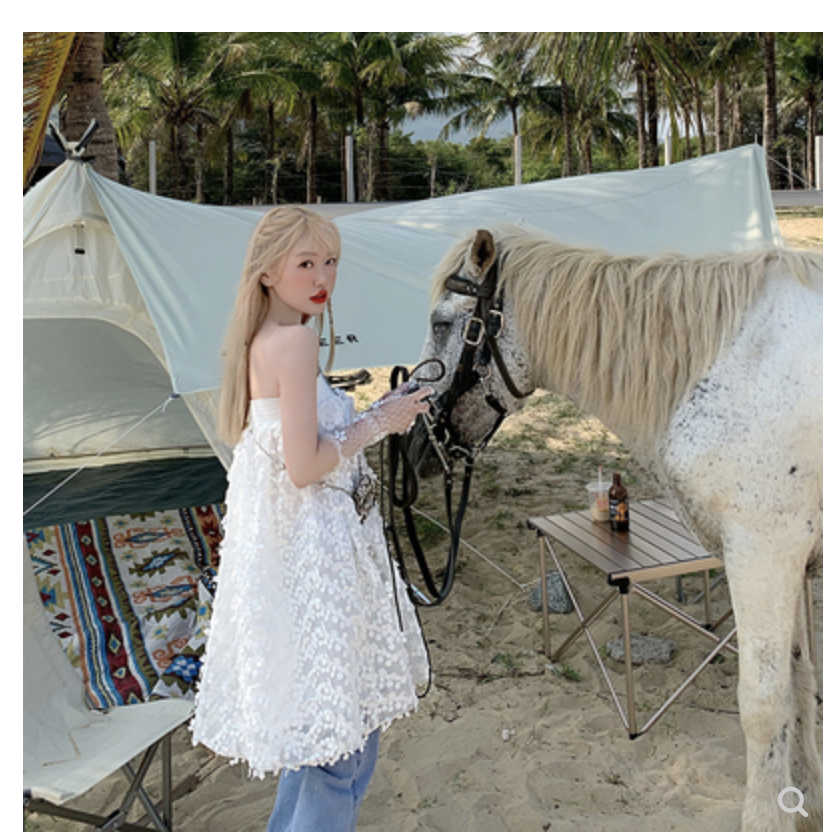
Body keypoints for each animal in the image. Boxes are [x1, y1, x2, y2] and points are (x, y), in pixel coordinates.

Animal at [407, 226, 822, 831]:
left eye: (441, 323)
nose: (415, 441)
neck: (736, 362)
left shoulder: (763, 555)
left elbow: (766, 705)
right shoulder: (787, 563)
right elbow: (801, 680)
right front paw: (807, 802)